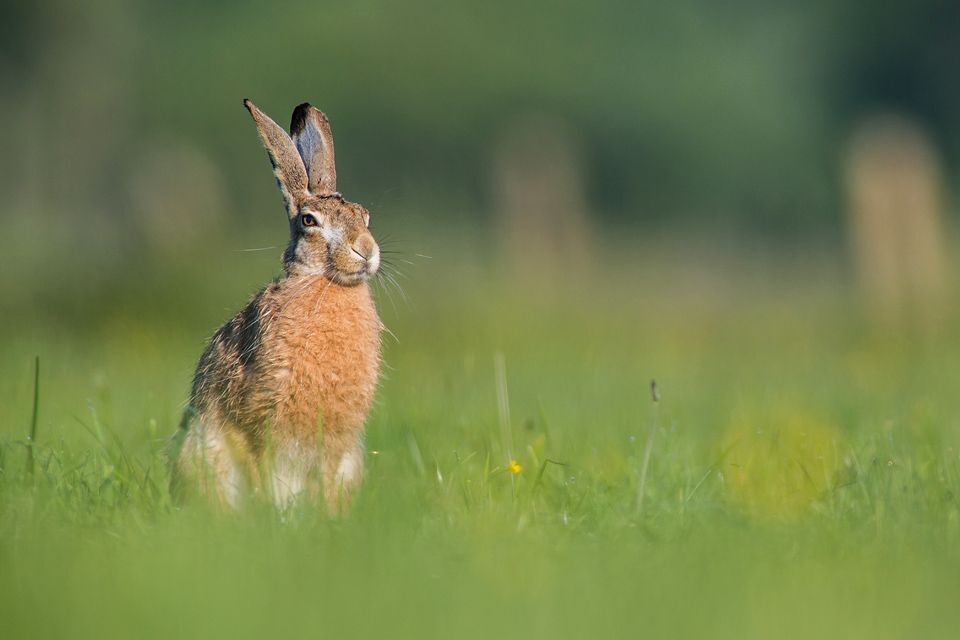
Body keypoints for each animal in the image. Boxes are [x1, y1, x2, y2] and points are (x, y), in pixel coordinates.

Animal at [170, 99, 382, 511]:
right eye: (309, 221)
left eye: (364, 216)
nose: (365, 250)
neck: (325, 283)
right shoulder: (258, 418)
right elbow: (261, 471)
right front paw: (270, 515)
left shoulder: (336, 446)